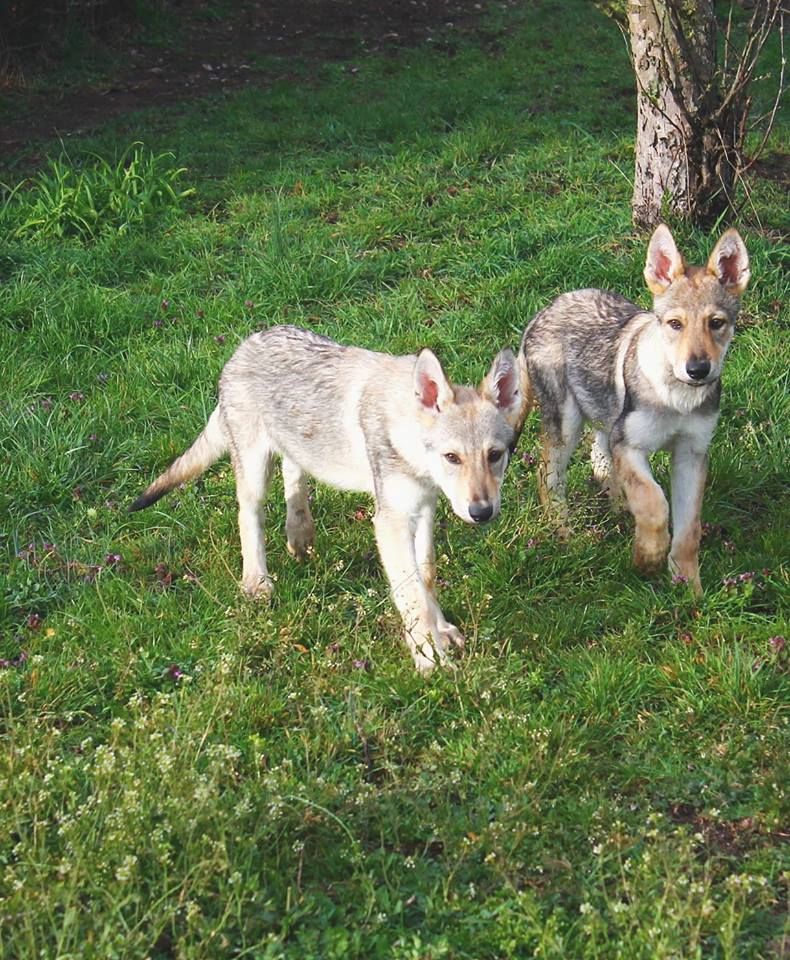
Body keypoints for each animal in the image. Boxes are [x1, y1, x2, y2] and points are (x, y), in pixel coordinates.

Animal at [130, 326, 524, 672]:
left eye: (495, 455)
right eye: (452, 458)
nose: (481, 512)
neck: (405, 434)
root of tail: (244, 345)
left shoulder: (424, 507)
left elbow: (425, 576)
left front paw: (440, 633)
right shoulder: (392, 520)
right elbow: (412, 596)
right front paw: (430, 659)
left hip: (294, 450)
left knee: (294, 474)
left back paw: (300, 533)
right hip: (255, 471)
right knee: (249, 515)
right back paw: (257, 582)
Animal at [524, 225, 752, 592]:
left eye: (716, 323)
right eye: (675, 324)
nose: (698, 370)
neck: (677, 398)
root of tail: (543, 311)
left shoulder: (691, 454)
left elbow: (688, 529)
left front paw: (688, 586)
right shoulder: (631, 446)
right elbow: (655, 502)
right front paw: (647, 557)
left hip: (604, 420)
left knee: (598, 456)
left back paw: (617, 503)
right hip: (567, 424)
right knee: (549, 477)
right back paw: (565, 532)